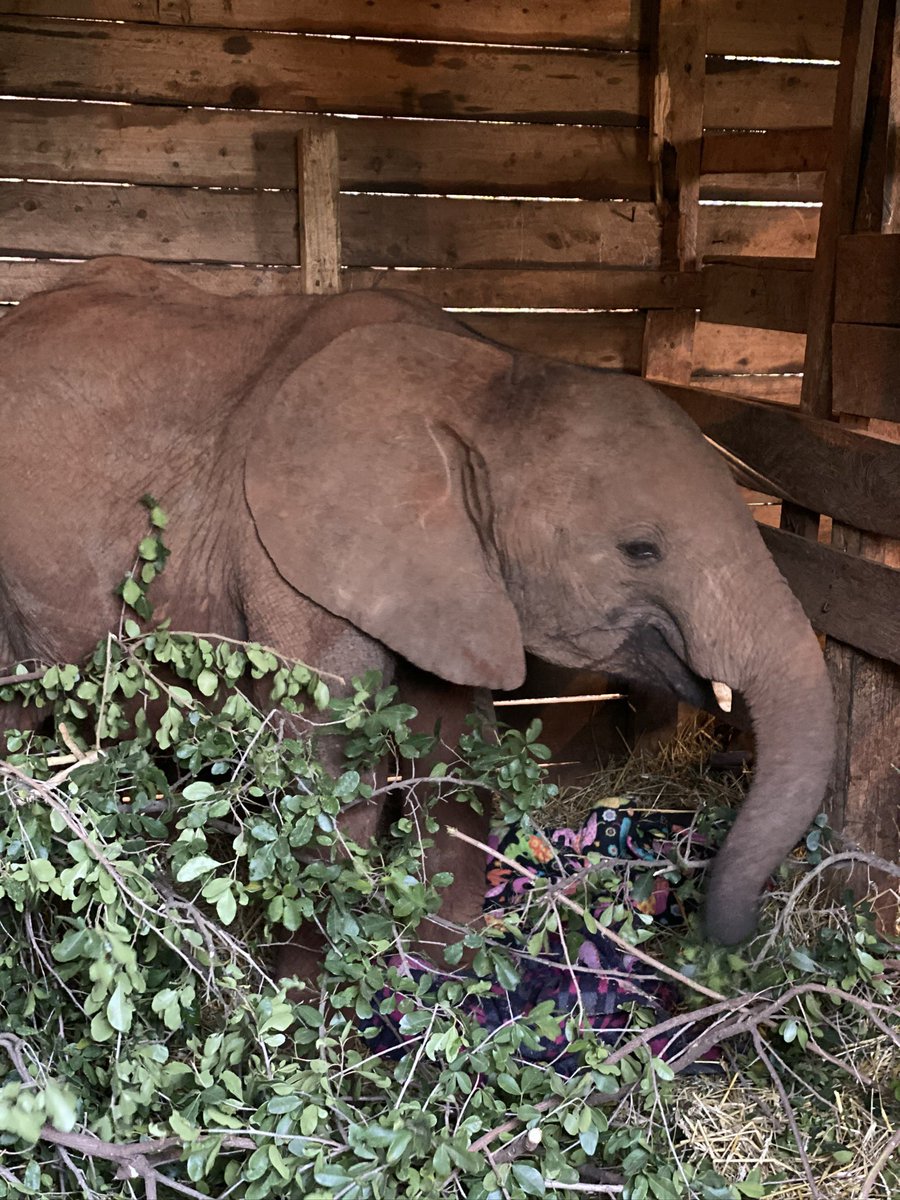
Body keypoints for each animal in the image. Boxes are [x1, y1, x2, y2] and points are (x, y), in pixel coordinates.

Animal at [0, 256, 834, 959]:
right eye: (641, 550)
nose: (730, 935)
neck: (483, 377)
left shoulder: (448, 577)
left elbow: (454, 751)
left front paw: (444, 968)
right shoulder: (287, 550)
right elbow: (328, 769)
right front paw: (321, 996)